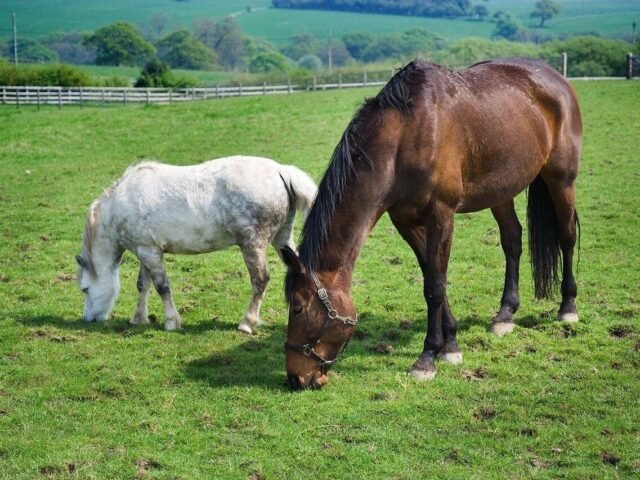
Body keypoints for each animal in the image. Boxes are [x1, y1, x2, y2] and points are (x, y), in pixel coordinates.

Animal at [76, 155, 317, 333]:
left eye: (85, 288)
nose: (89, 319)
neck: (120, 205)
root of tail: (280, 171)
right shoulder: (146, 250)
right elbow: (143, 285)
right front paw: (139, 318)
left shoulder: (150, 253)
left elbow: (162, 286)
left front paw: (171, 322)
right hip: (282, 239)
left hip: (252, 244)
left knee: (260, 280)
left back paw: (247, 323)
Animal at [282, 58, 582, 389]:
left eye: (298, 308)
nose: (296, 378)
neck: (405, 137)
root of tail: (554, 76)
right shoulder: (406, 221)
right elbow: (431, 275)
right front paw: (450, 344)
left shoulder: (441, 214)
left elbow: (435, 286)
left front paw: (427, 357)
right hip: (501, 190)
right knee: (512, 241)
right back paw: (505, 314)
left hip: (561, 180)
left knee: (566, 236)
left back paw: (568, 307)